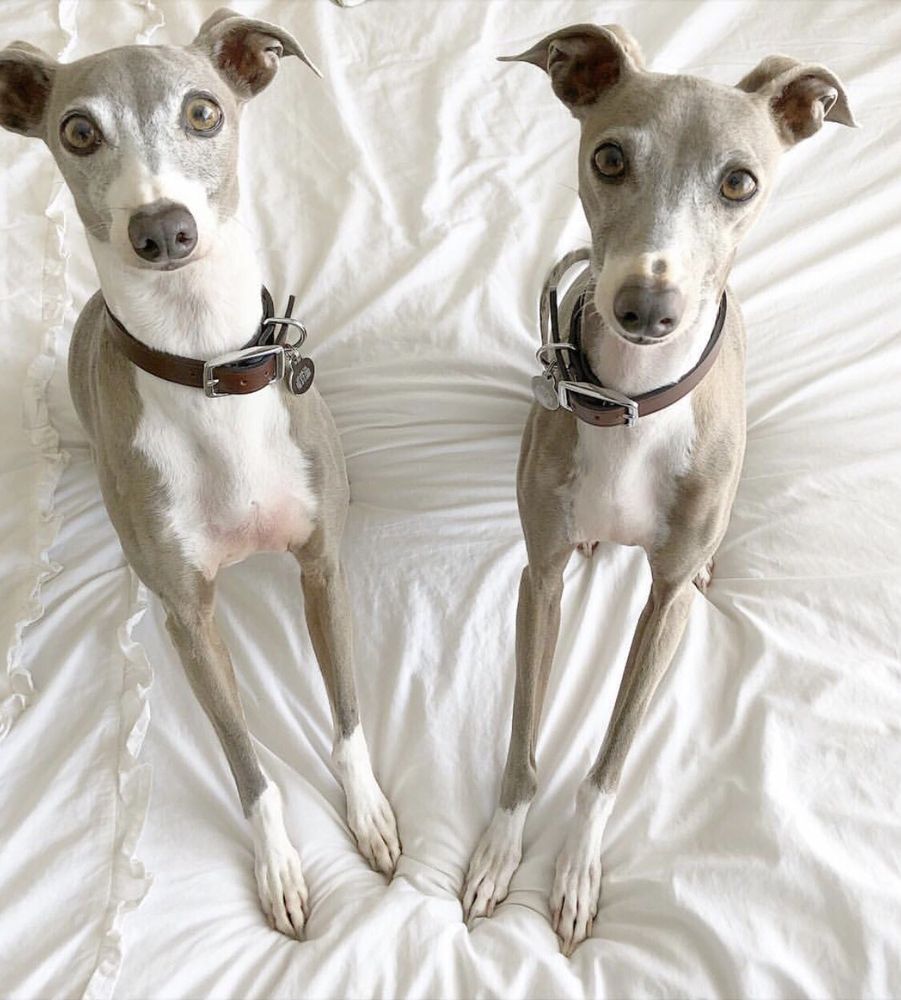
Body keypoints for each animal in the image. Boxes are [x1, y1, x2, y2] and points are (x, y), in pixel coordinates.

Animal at [0, 8, 400, 937]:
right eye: (78, 131)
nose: (162, 229)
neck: (207, 366)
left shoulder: (322, 565)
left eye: (203, 112)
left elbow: (347, 713)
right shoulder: (189, 619)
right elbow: (246, 761)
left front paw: (367, 812)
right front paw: (281, 866)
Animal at [462, 23, 854, 955]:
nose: (645, 306)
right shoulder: (540, 577)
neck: (633, 402)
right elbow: (523, 736)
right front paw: (500, 852)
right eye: (608, 158)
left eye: (739, 181)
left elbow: (609, 759)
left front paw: (574, 870)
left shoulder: (663, 605)